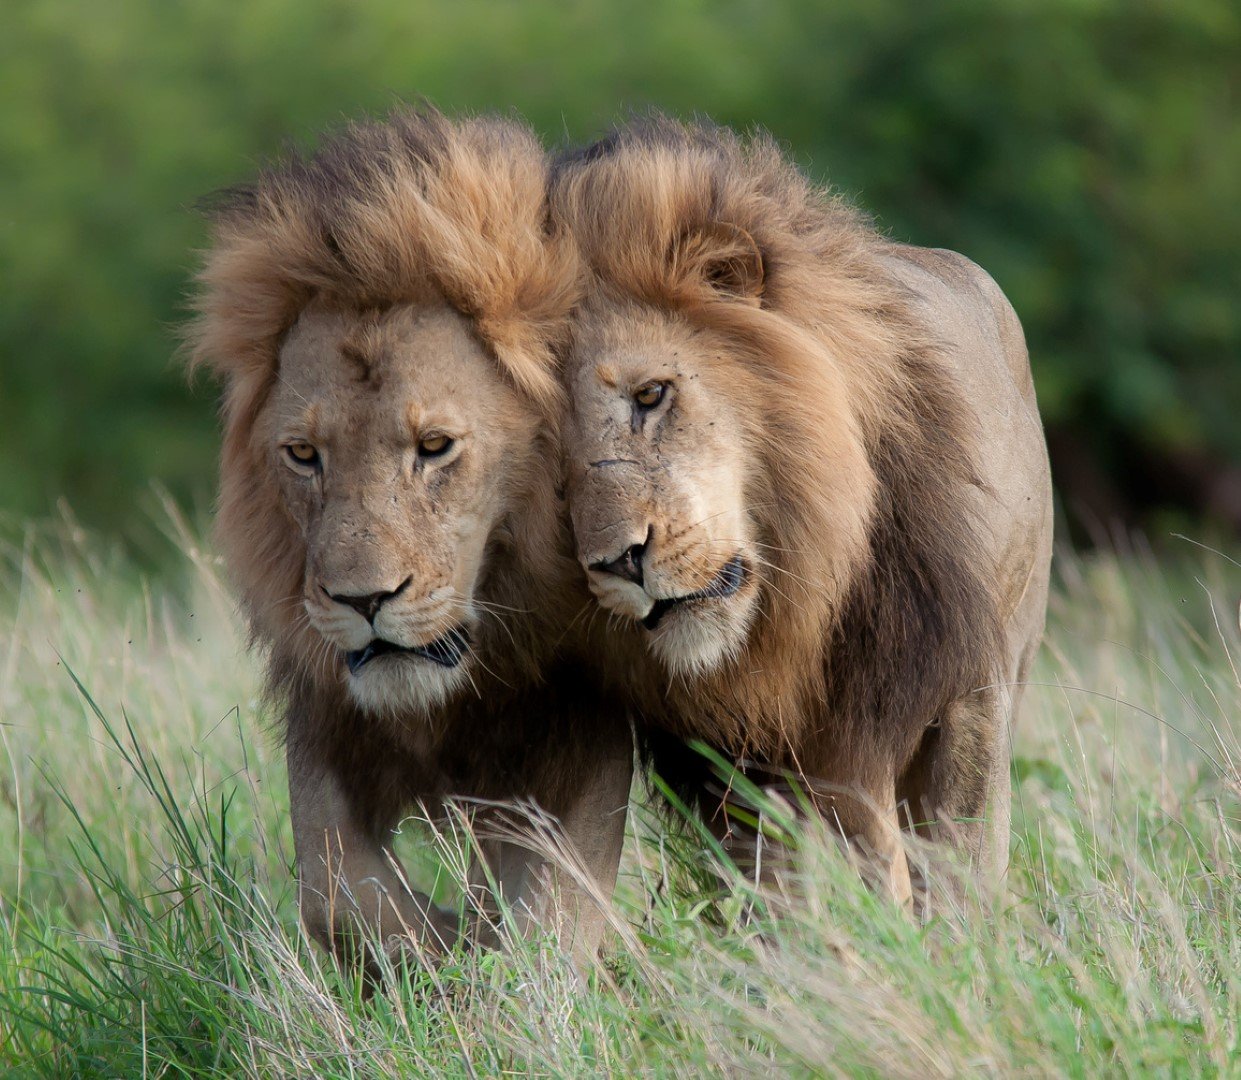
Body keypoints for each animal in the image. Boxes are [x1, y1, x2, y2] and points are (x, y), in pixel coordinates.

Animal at [188, 107, 635, 973]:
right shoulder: (328, 705)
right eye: (303, 454)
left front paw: (492, 971)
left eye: (434, 447)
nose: (364, 600)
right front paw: (439, 953)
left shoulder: (586, 716)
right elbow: (336, 891)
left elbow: (552, 916)